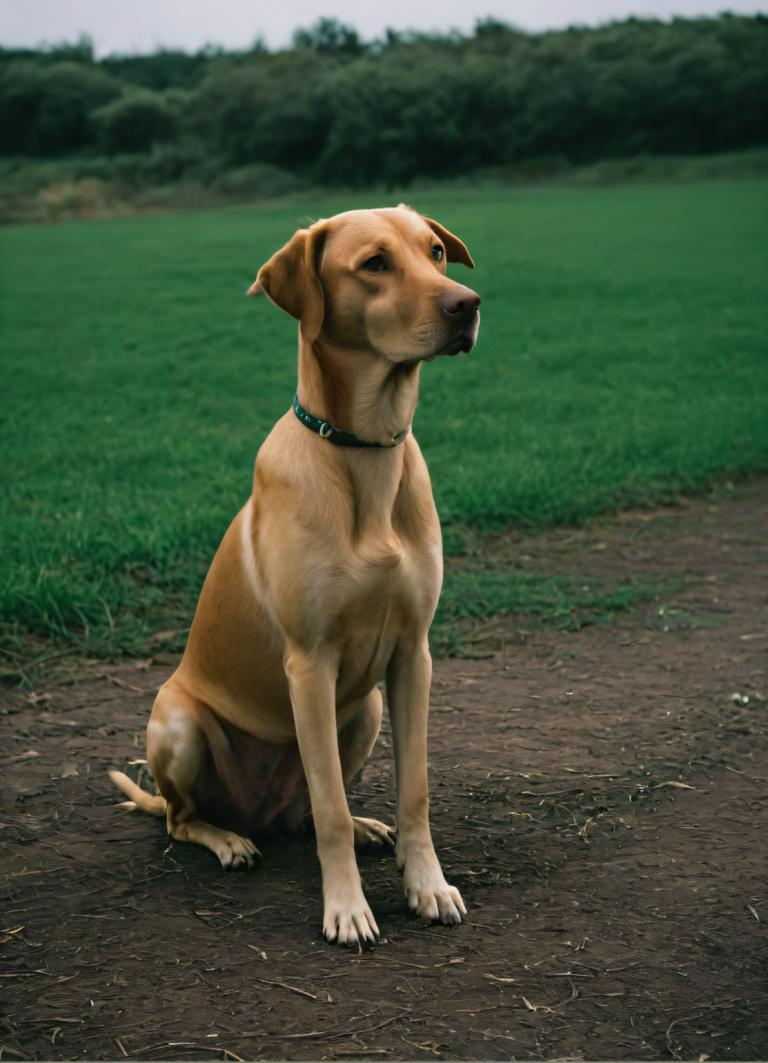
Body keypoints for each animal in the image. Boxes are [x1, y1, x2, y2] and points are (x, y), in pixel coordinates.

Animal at [110, 200, 478, 948]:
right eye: (374, 263)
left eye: (434, 252)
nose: (468, 305)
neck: (365, 452)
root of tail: (258, 809)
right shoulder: (309, 664)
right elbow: (330, 805)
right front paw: (347, 908)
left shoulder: (414, 655)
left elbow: (414, 789)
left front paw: (427, 885)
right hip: (179, 724)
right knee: (185, 817)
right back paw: (228, 840)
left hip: (363, 710)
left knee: (306, 806)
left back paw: (361, 828)